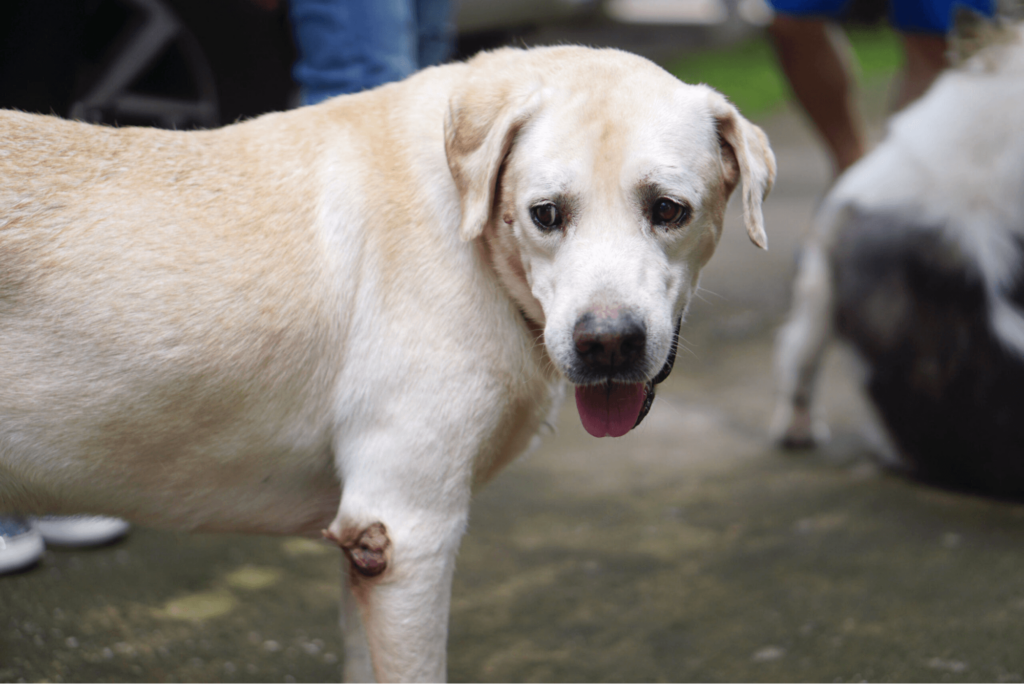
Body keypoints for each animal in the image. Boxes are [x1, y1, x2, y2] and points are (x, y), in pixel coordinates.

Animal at [0, 45, 770, 679]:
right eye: (546, 214)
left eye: (668, 210)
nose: (607, 343)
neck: (469, 227)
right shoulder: (407, 534)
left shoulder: (364, 546)